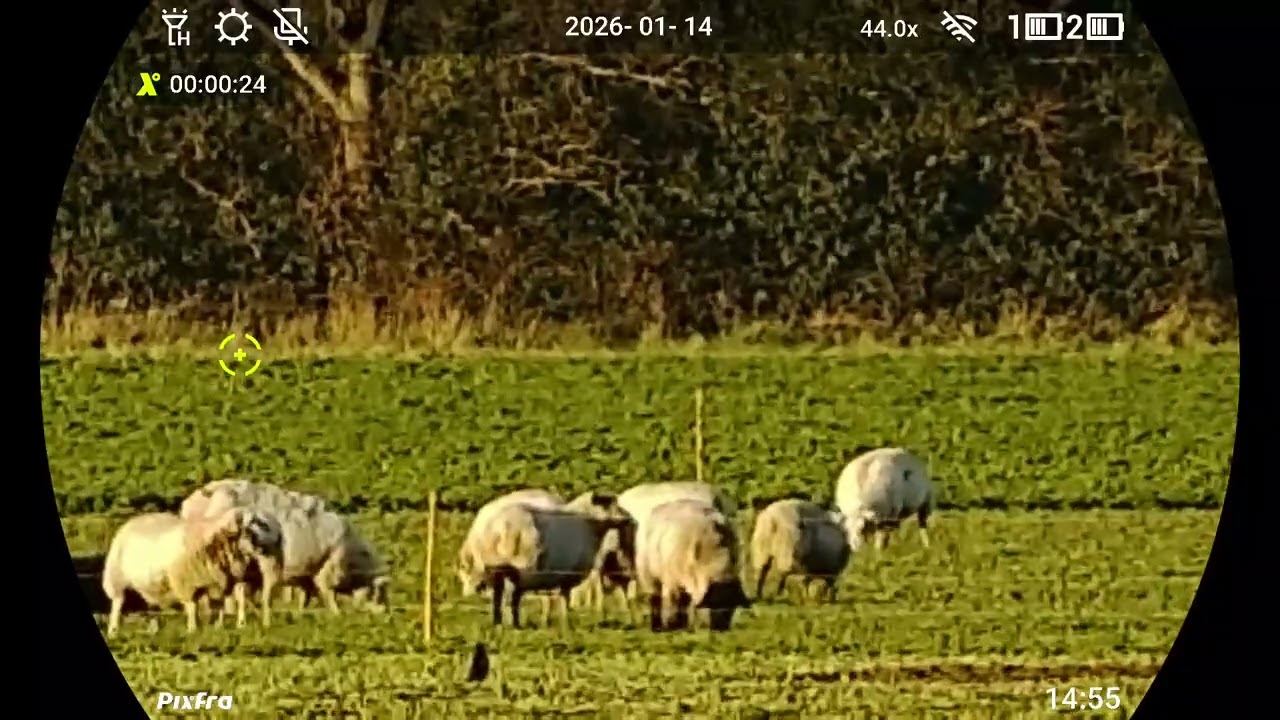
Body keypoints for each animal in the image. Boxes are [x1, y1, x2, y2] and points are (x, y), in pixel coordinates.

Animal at [101, 507, 283, 636]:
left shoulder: (228, 580)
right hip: (117, 579)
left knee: (148, 607)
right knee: (118, 603)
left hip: (148, 584)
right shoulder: (185, 582)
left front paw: (226, 626)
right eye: (258, 524)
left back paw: (151, 629)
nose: (278, 538)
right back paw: (113, 631)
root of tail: (134, 520)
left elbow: (229, 603)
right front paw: (193, 628)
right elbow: (192, 606)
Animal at [456, 494, 631, 629]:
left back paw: (499, 623)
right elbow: (564, 599)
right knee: (509, 597)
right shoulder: (566, 574)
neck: (590, 524)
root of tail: (497, 528)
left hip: (497, 569)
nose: (629, 519)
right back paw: (512, 624)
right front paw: (565, 623)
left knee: (499, 597)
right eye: (610, 505)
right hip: (519, 568)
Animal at [634, 499, 752, 632]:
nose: (720, 628)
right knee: (654, 597)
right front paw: (673, 626)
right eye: (713, 602)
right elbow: (674, 600)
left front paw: (681, 626)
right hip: (646, 571)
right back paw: (657, 628)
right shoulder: (671, 579)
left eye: (732, 607)